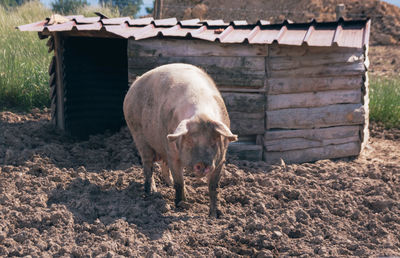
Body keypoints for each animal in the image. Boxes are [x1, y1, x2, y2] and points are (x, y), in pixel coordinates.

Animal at [123, 63, 238, 218]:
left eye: (214, 142)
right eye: (189, 142)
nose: (202, 163)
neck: (201, 114)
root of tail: (135, 82)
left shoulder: (220, 159)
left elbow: (213, 187)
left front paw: (214, 215)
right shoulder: (173, 153)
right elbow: (180, 182)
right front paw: (181, 206)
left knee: (163, 166)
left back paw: (170, 187)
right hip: (138, 134)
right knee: (148, 166)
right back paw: (151, 193)